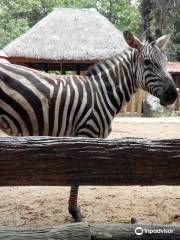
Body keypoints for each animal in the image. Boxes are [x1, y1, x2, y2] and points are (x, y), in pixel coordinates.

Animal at [0, 31, 177, 221]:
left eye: (166, 61)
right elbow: (79, 175)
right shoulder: (86, 134)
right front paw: (75, 212)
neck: (102, 93)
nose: (173, 95)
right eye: (147, 62)